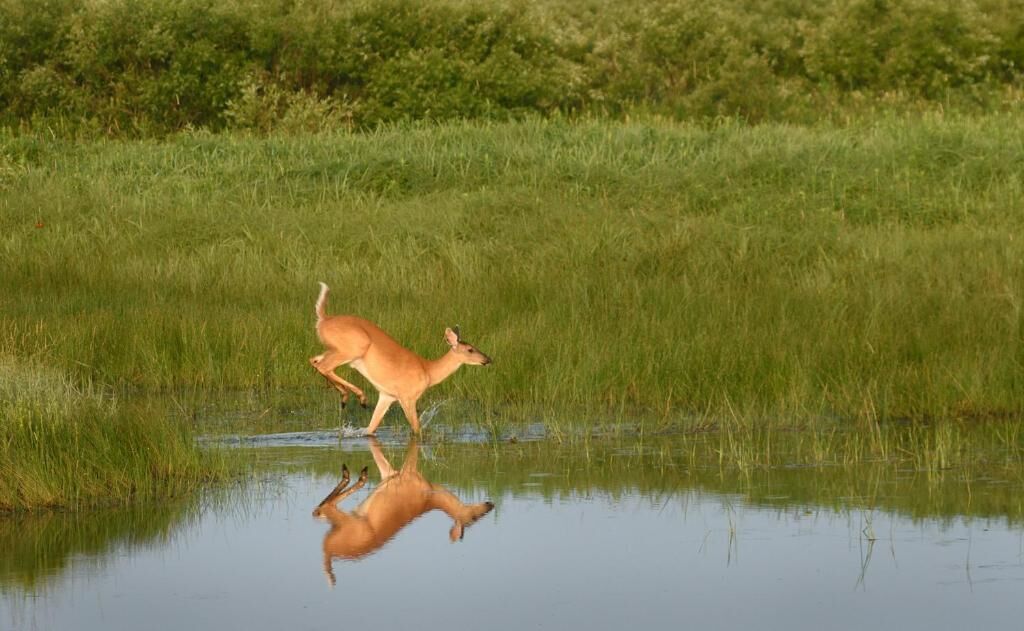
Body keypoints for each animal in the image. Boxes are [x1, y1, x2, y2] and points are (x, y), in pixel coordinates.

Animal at [309, 282, 492, 435]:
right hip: (355, 347)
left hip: (335, 349)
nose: (488, 359)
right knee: (323, 365)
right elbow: (417, 431)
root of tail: (323, 319)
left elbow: (370, 429)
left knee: (314, 360)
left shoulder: (387, 396)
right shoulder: (407, 397)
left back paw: (347, 397)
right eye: (470, 349)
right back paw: (357, 397)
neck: (428, 371)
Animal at [312, 438, 495, 586]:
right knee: (323, 507)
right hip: (349, 521)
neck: (430, 496)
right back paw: (354, 474)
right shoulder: (404, 472)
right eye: (474, 517)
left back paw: (358, 475)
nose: (490, 504)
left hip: (345, 520)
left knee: (319, 510)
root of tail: (330, 550)